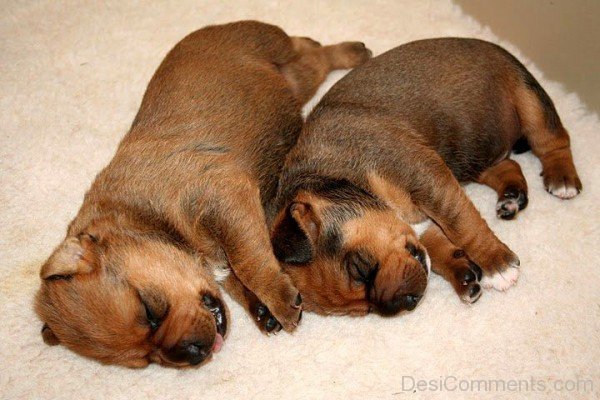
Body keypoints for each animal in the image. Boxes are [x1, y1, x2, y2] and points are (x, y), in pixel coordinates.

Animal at [34, 20, 370, 368]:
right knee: (312, 58)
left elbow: (248, 261)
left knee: (314, 51)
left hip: (275, 49)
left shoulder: (222, 197)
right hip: (295, 80)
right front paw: (261, 307)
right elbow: (238, 271)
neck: (143, 218)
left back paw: (352, 50)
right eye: (146, 360)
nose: (192, 354)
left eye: (150, 311)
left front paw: (278, 299)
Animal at [272, 37, 580, 316]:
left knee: (553, 141)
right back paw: (511, 197)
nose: (405, 303)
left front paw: (497, 265)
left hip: (529, 101)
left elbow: (462, 223)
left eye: (359, 269)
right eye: (366, 310)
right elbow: (435, 243)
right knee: (507, 165)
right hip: (470, 156)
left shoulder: (427, 177)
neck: (343, 175)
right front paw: (463, 274)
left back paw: (562, 178)